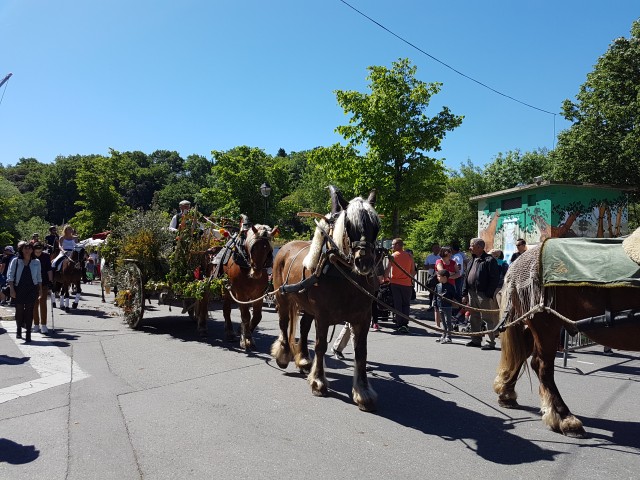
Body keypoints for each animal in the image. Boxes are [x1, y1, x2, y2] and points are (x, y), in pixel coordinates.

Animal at [222, 220, 278, 348]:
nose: (256, 272)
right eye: (253, 247)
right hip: (226, 289)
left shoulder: (258, 294)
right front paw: (246, 338)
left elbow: (256, 316)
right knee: (227, 309)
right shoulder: (240, 293)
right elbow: (246, 315)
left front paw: (246, 334)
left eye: (268, 249)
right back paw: (230, 332)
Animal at [270, 188, 380, 412]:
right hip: (282, 297)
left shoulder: (363, 318)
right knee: (284, 324)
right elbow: (320, 346)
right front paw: (318, 381)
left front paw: (363, 391)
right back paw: (283, 354)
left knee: (303, 327)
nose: (364, 261)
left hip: (306, 306)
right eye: (349, 225)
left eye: (376, 226)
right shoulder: (323, 315)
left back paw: (304, 360)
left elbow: (361, 352)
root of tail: (285, 247)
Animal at [498, 242, 640, 436]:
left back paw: (507, 393)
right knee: (542, 366)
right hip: (546, 323)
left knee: (523, 352)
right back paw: (564, 418)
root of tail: (518, 262)